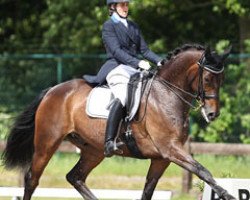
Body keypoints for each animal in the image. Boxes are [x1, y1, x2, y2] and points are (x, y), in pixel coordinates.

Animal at [1, 44, 234, 200]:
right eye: (207, 79)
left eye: (222, 80)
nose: (212, 114)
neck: (167, 93)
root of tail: (53, 90)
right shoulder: (170, 149)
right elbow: (204, 171)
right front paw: (227, 194)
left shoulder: (162, 158)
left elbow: (148, 190)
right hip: (47, 143)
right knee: (32, 178)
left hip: (93, 149)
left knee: (75, 177)